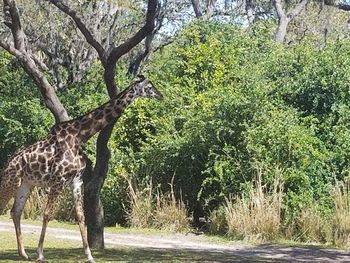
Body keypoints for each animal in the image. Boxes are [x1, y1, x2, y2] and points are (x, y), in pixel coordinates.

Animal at [0, 75, 163, 262]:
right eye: (149, 87)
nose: (161, 95)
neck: (80, 137)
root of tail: (7, 162)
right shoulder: (59, 180)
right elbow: (48, 213)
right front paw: (40, 253)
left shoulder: (76, 181)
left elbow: (80, 215)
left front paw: (89, 255)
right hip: (11, 181)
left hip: (26, 184)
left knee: (15, 212)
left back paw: (23, 253)